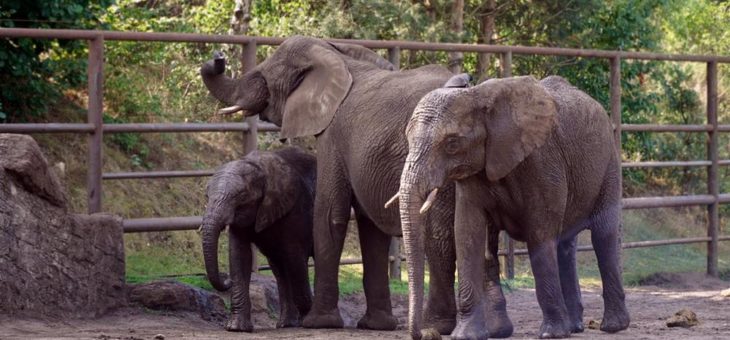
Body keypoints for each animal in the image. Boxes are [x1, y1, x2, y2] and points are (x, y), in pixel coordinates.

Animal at [200, 147, 314, 332]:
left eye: (241, 195)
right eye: (206, 196)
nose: (226, 280)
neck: (257, 166)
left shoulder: (296, 208)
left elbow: (295, 255)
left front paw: (309, 322)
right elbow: (239, 254)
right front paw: (236, 328)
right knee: (280, 268)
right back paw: (286, 325)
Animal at [396, 75, 628, 338]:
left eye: (452, 143)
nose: (427, 333)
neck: (477, 96)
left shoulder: (542, 160)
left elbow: (539, 233)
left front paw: (551, 334)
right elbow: (468, 234)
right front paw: (467, 335)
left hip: (609, 163)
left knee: (603, 236)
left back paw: (612, 326)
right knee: (566, 245)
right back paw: (575, 327)